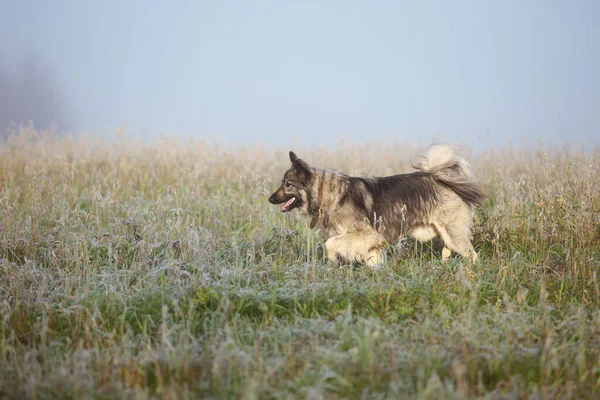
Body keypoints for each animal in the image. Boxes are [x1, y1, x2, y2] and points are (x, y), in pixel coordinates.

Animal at [268, 145, 482, 266]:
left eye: (288, 185)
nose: (270, 199)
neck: (323, 193)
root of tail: (440, 177)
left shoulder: (368, 234)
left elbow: (330, 243)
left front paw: (332, 260)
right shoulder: (370, 243)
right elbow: (372, 260)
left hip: (455, 235)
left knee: (472, 256)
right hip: (444, 234)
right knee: (448, 250)